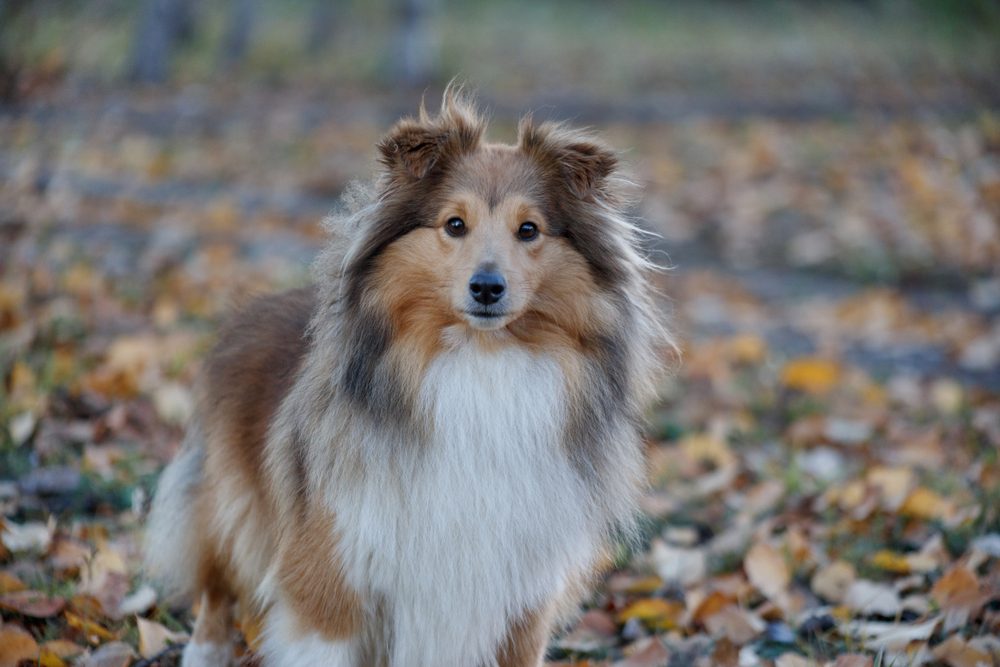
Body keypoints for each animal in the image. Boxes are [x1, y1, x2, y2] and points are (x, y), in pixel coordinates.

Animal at [145, 90, 668, 667]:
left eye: (528, 229)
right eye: (454, 224)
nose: (487, 288)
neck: (480, 364)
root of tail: (253, 307)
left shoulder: (521, 603)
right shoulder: (331, 582)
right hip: (231, 507)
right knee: (216, 585)